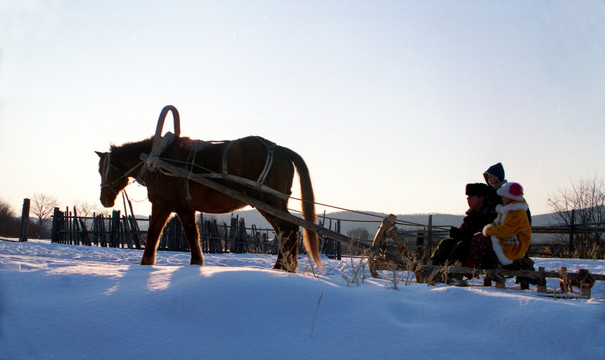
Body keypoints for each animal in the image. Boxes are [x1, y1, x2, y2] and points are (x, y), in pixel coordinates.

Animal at [95, 136, 320, 272]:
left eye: (101, 168)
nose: (104, 200)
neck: (158, 159)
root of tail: (280, 149)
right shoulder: (184, 208)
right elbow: (192, 236)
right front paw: (196, 263)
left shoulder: (162, 204)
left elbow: (153, 235)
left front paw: (145, 263)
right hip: (275, 203)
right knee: (289, 230)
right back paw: (285, 267)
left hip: (267, 200)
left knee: (288, 230)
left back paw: (282, 266)